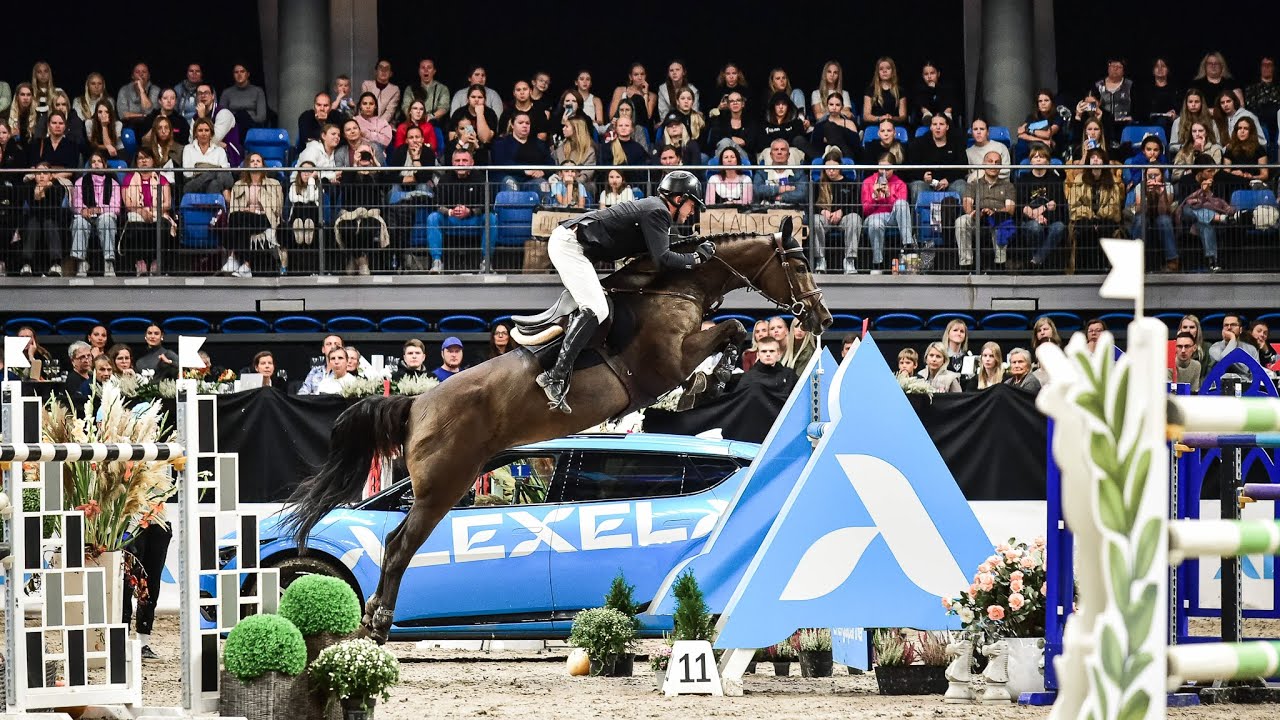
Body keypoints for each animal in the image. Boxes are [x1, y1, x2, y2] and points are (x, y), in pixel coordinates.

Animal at [283, 226, 833, 642]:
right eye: (798, 264)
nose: (823, 316)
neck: (677, 288)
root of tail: (417, 402)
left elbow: (733, 331)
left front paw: (713, 380)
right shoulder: (667, 361)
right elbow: (732, 330)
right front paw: (713, 378)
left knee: (396, 543)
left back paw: (375, 619)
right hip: (444, 485)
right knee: (398, 544)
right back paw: (377, 623)